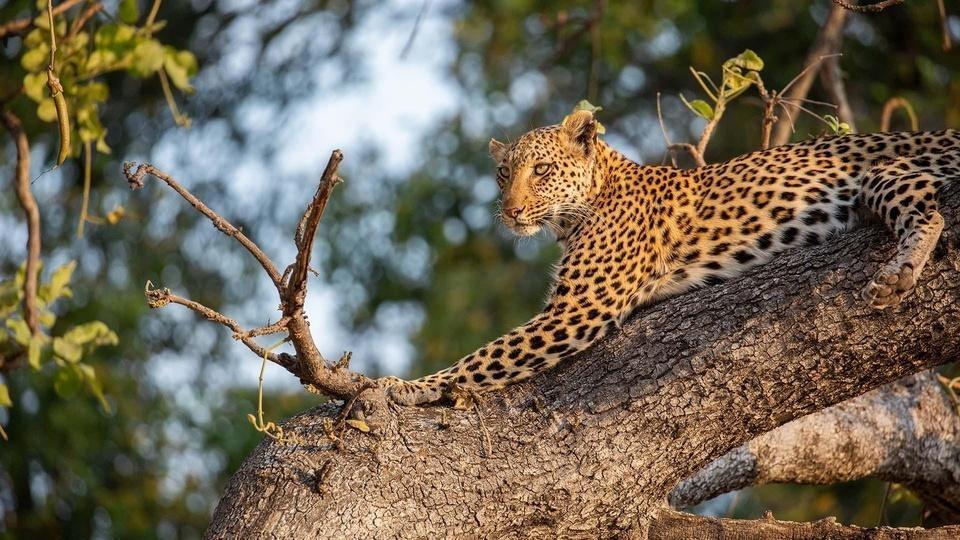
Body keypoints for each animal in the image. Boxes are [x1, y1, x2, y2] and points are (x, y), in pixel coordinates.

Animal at [382, 109, 960, 404]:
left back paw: (898, 274)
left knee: (928, 211)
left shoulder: (575, 310)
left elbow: (483, 358)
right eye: (504, 174)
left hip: (883, 173)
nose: (511, 210)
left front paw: (403, 389)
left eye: (541, 170)